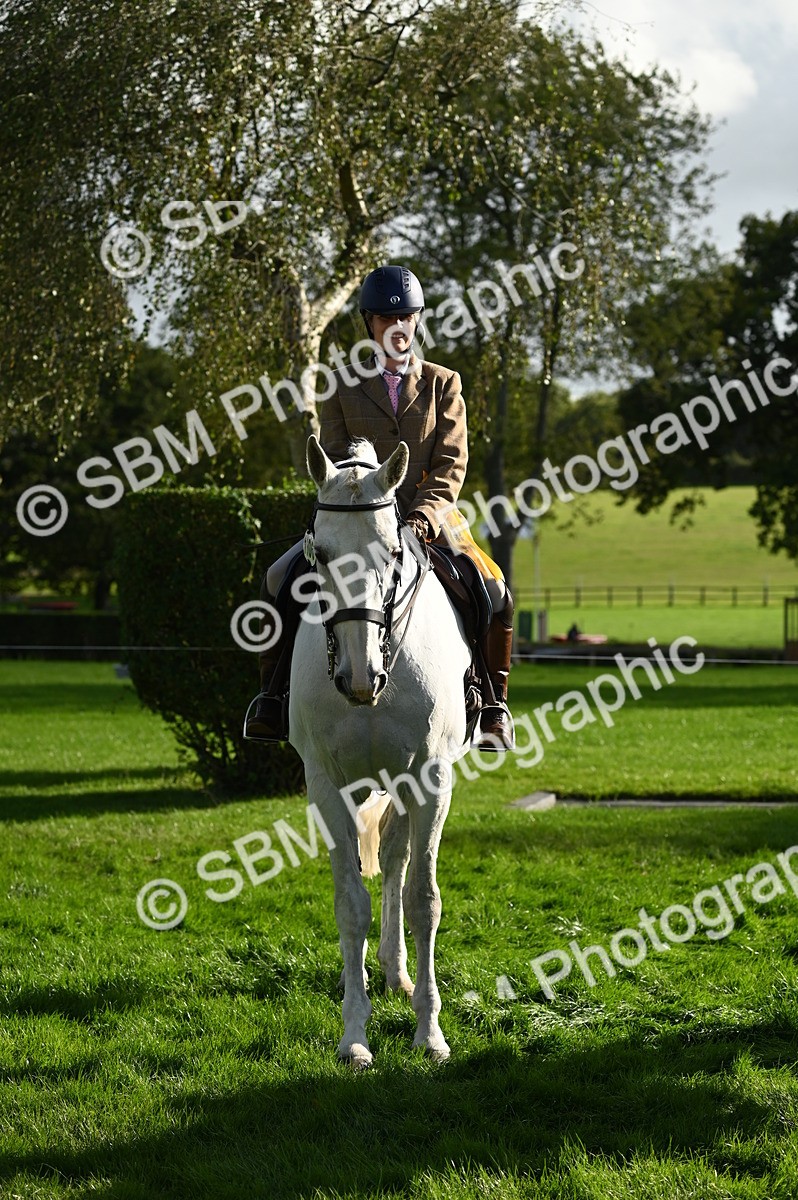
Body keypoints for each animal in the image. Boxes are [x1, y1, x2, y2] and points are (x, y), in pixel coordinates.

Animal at [288, 435, 472, 1067]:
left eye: (393, 550)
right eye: (318, 554)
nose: (359, 677)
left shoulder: (431, 780)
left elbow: (423, 899)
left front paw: (430, 1033)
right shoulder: (327, 785)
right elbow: (351, 904)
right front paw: (354, 1035)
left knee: (397, 861)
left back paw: (399, 975)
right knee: (389, 859)